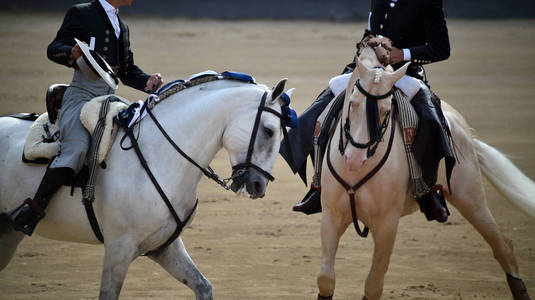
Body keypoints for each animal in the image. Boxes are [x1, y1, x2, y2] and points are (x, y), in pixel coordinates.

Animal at [0, 76, 294, 298]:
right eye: (269, 131)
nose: (259, 185)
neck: (160, 154)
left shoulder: (164, 246)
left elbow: (203, 286)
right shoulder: (119, 248)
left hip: (9, 236)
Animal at [318, 47, 535, 300]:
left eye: (386, 110)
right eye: (352, 103)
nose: (354, 159)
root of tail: (464, 131)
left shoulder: (387, 224)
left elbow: (373, 285)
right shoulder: (331, 216)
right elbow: (326, 279)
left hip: (471, 198)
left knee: (504, 247)